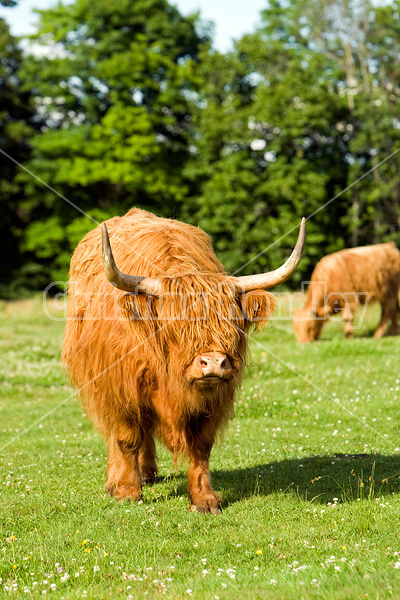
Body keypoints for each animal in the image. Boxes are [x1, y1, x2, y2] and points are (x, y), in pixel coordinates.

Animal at [62, 209, 304, 512]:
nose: (213, 363)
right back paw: (118, 479)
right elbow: (127, 438)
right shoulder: (119, 388)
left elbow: (201, 446)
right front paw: (127, 492)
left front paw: (204, 498)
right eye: (177, 326)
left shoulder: (214, 398)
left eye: (232, 324)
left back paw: (148, 472)